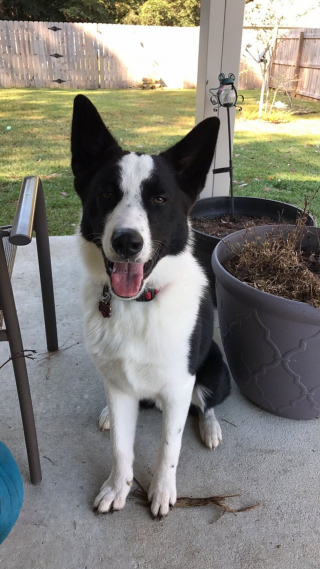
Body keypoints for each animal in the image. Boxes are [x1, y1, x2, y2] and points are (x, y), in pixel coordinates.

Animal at [71, 95, 230, 516]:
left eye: (160, 199)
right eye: (106, 194)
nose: (127, 242)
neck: (137, 304)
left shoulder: (178, 387)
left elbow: (169, 448)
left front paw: (161, 490)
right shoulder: (119, 386)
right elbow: (120, 448)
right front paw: (118, 487)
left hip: (215, 370)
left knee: (206, 403)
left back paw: (210, 426)